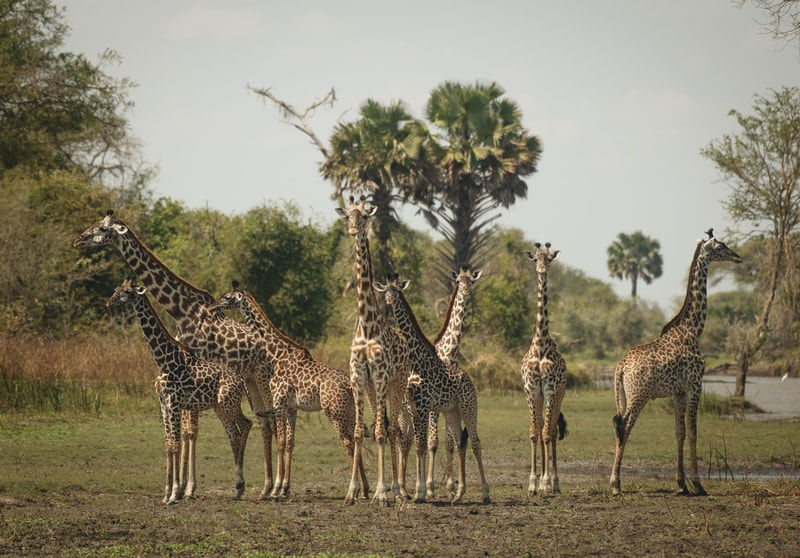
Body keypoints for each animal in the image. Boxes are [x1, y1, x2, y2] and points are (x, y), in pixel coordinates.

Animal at [106, 279, 251, 504]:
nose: (109, 302)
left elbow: (175, 444)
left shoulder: (174, 403)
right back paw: (237, 490)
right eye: (116, 290)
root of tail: (240, 380)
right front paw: (166, 493)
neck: (163, 360)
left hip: (229, 404)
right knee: (234, 435)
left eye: (127, 292)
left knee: (245, 425)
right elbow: (168, 444)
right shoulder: (164, 404)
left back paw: (240, 487)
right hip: (219, 407)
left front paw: (174, 493)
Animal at [208, 281, 369, 499]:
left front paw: (276, 489)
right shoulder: (292, 408)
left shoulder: (279, 403)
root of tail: (349, 385)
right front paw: (284, 489)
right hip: (350, 411)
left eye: (226, 297)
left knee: (347, 441)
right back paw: (366, 490)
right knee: (356, 438)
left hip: (335, 411)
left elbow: (282, 442)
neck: (276, 354)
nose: (212, 307)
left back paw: (353, 491)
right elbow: (290, 442)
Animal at [335, 195, 413, 505]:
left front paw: (380, 493)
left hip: (397, 384)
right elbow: (359, 432)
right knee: (388, 428)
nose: (354, 229)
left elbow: (379, 432)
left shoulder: (380, 376)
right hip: (372, 388)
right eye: (348, 215)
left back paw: (398, 489)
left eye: (365, 215)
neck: (367, 326)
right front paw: (351, 492)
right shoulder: (359, 377)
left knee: (393, 429)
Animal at [376, 274, 491, 504]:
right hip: (450, 411)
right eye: (385, 291)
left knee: (474, 441)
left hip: (468, 407)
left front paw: (422, 491)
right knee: (456, 441)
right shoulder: (415, 407)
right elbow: (419, 444)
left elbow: (425, 444)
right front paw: (420, 491)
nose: (389, 301)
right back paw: (457, 493)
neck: (417, 359)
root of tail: (469, 379)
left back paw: (484, 493)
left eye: (397, 291)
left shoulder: (424, 407)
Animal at [610, 229, 741, 496]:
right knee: (624, 426)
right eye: (720, 246)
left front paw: (681, 484)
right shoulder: (695, 385)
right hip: (639, 395)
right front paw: (698, 484)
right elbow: (693, 432)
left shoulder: (678, 392)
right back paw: (616, 484)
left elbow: (679, 432)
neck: (693, 331)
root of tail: (621, 367)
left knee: (617, 424)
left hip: (623, 395)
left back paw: (615, 481)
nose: (737, 257)